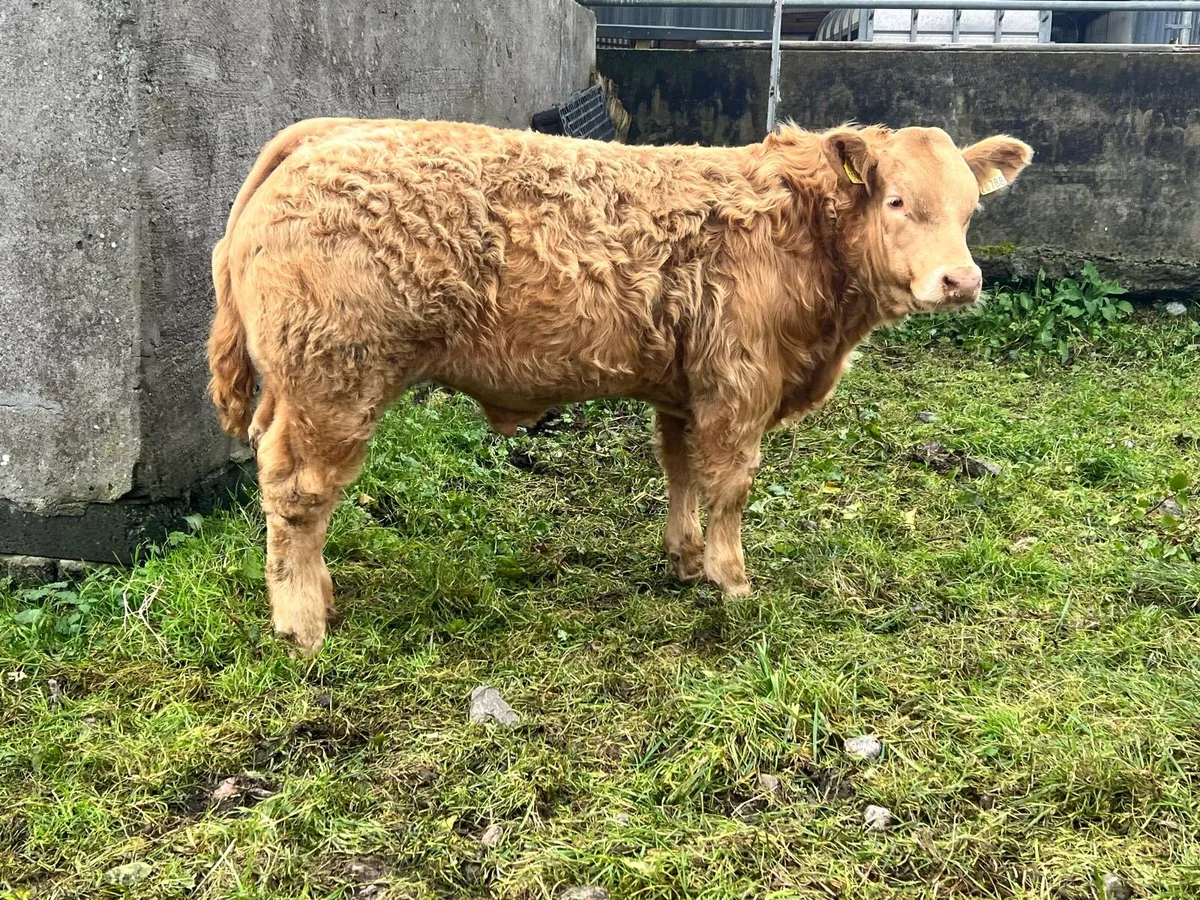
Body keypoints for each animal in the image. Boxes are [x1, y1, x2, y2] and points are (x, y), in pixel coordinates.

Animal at [207, 117, 1031, 655]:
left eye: (971, 207)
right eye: (898, 201)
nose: (962, 281)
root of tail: (327, 133)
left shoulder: (686, 385)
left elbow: (682, 468)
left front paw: (685, 558)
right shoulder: (740, 381)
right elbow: (732, 482)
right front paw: (732, 580)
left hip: (295, 387)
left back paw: (319, 594)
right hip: (335, 383)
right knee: (298, 493)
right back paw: (304, 623)